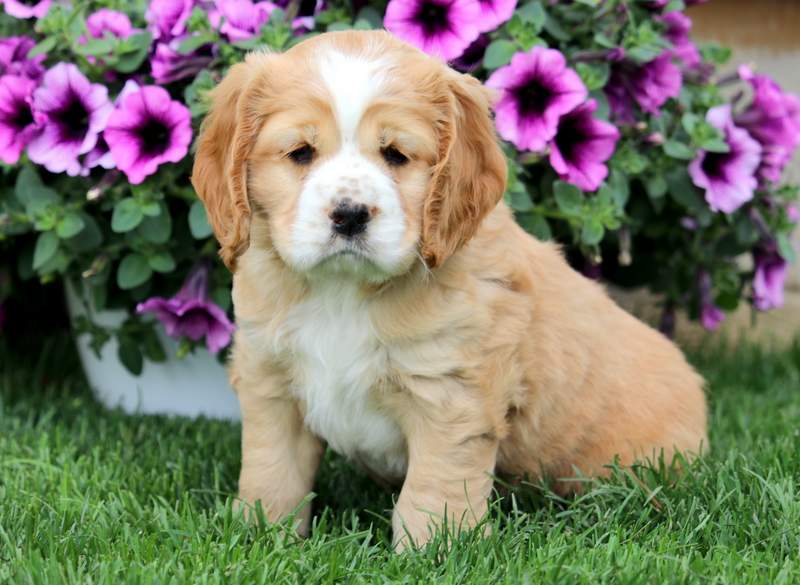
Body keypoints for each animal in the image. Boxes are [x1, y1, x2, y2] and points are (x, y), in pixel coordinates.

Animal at [192, 28, 708, 548]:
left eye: (397, 155)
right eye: (300, 152)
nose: (350, 214)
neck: (342, 291)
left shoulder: (451, 395)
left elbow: (433, 487)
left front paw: (433, 550)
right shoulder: (272, 383)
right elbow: (273, 470)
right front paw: (261, 532)